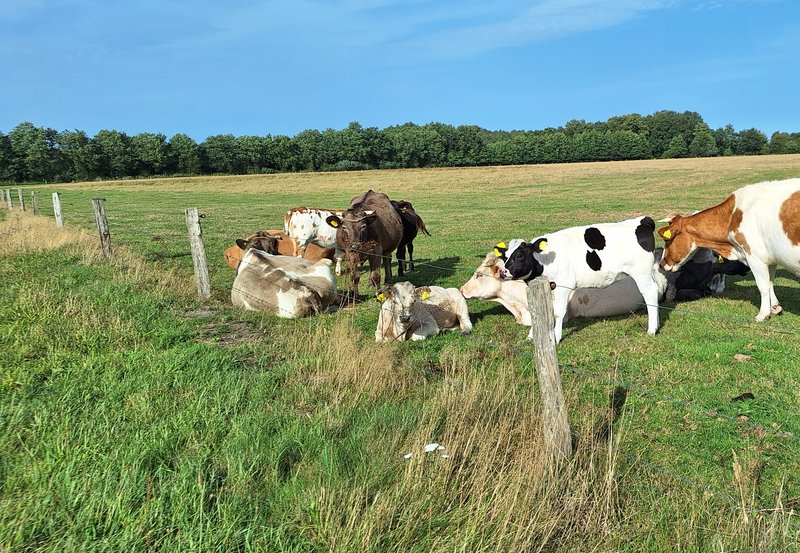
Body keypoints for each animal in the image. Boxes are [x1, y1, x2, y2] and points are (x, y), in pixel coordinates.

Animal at [498, 216, 664, 344]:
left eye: (519, 255)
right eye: (504, 256)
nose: (503, 272)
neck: (545, 259)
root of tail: (642, 221)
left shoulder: (563, 285)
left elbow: (558, 312)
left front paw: (556, 338)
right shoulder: (549, 287)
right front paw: (531, 336)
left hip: (641, 273)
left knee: (650, 293)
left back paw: (651, 329)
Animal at [658, 178, 800, 321]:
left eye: (667, 240)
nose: (661, 263)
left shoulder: (754, 256)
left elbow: (763, 285)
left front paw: (762, 314)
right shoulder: (770, 258)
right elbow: (770, 282)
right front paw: (775, 307)